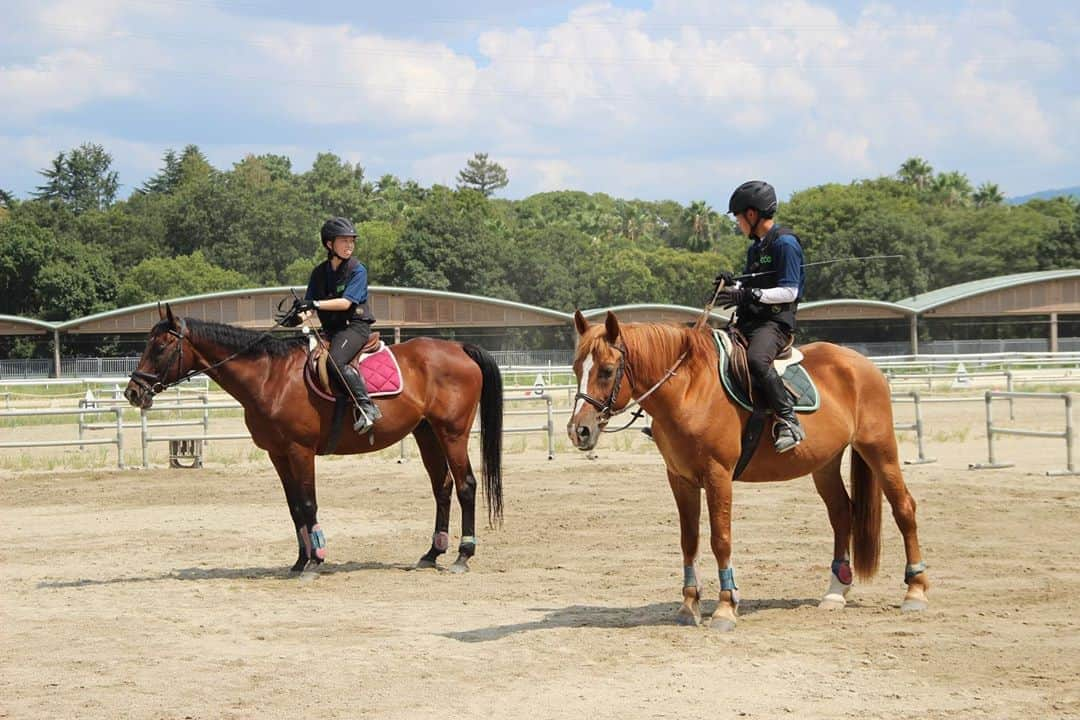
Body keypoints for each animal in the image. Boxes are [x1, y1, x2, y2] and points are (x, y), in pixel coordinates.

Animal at [124, 304, 503, 574]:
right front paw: (299, 560)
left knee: (466, 485)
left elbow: (308, 503)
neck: (271, 377)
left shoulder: (300, 451)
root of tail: (459, 348)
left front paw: (316, 559)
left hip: (452, 433)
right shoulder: (278, 454)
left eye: (161, 347)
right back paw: (432, 553)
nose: (133, 392)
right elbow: (294, 507)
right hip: (427, 434)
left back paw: (463, 555)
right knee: (443, 487)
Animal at [565, 310, 928, 630]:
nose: (578, 430)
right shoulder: (680, 479)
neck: (689, 390)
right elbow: (689, 541)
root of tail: (862, 364)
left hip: (879, 450)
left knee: (904, 508)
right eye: (576, 368)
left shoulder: (718, 475)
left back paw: (915, 589)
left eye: (607, 370)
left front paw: (726, 607)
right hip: (825, 463)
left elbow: (720, 539)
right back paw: (835, 592)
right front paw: (688, 606)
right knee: (842, 513)